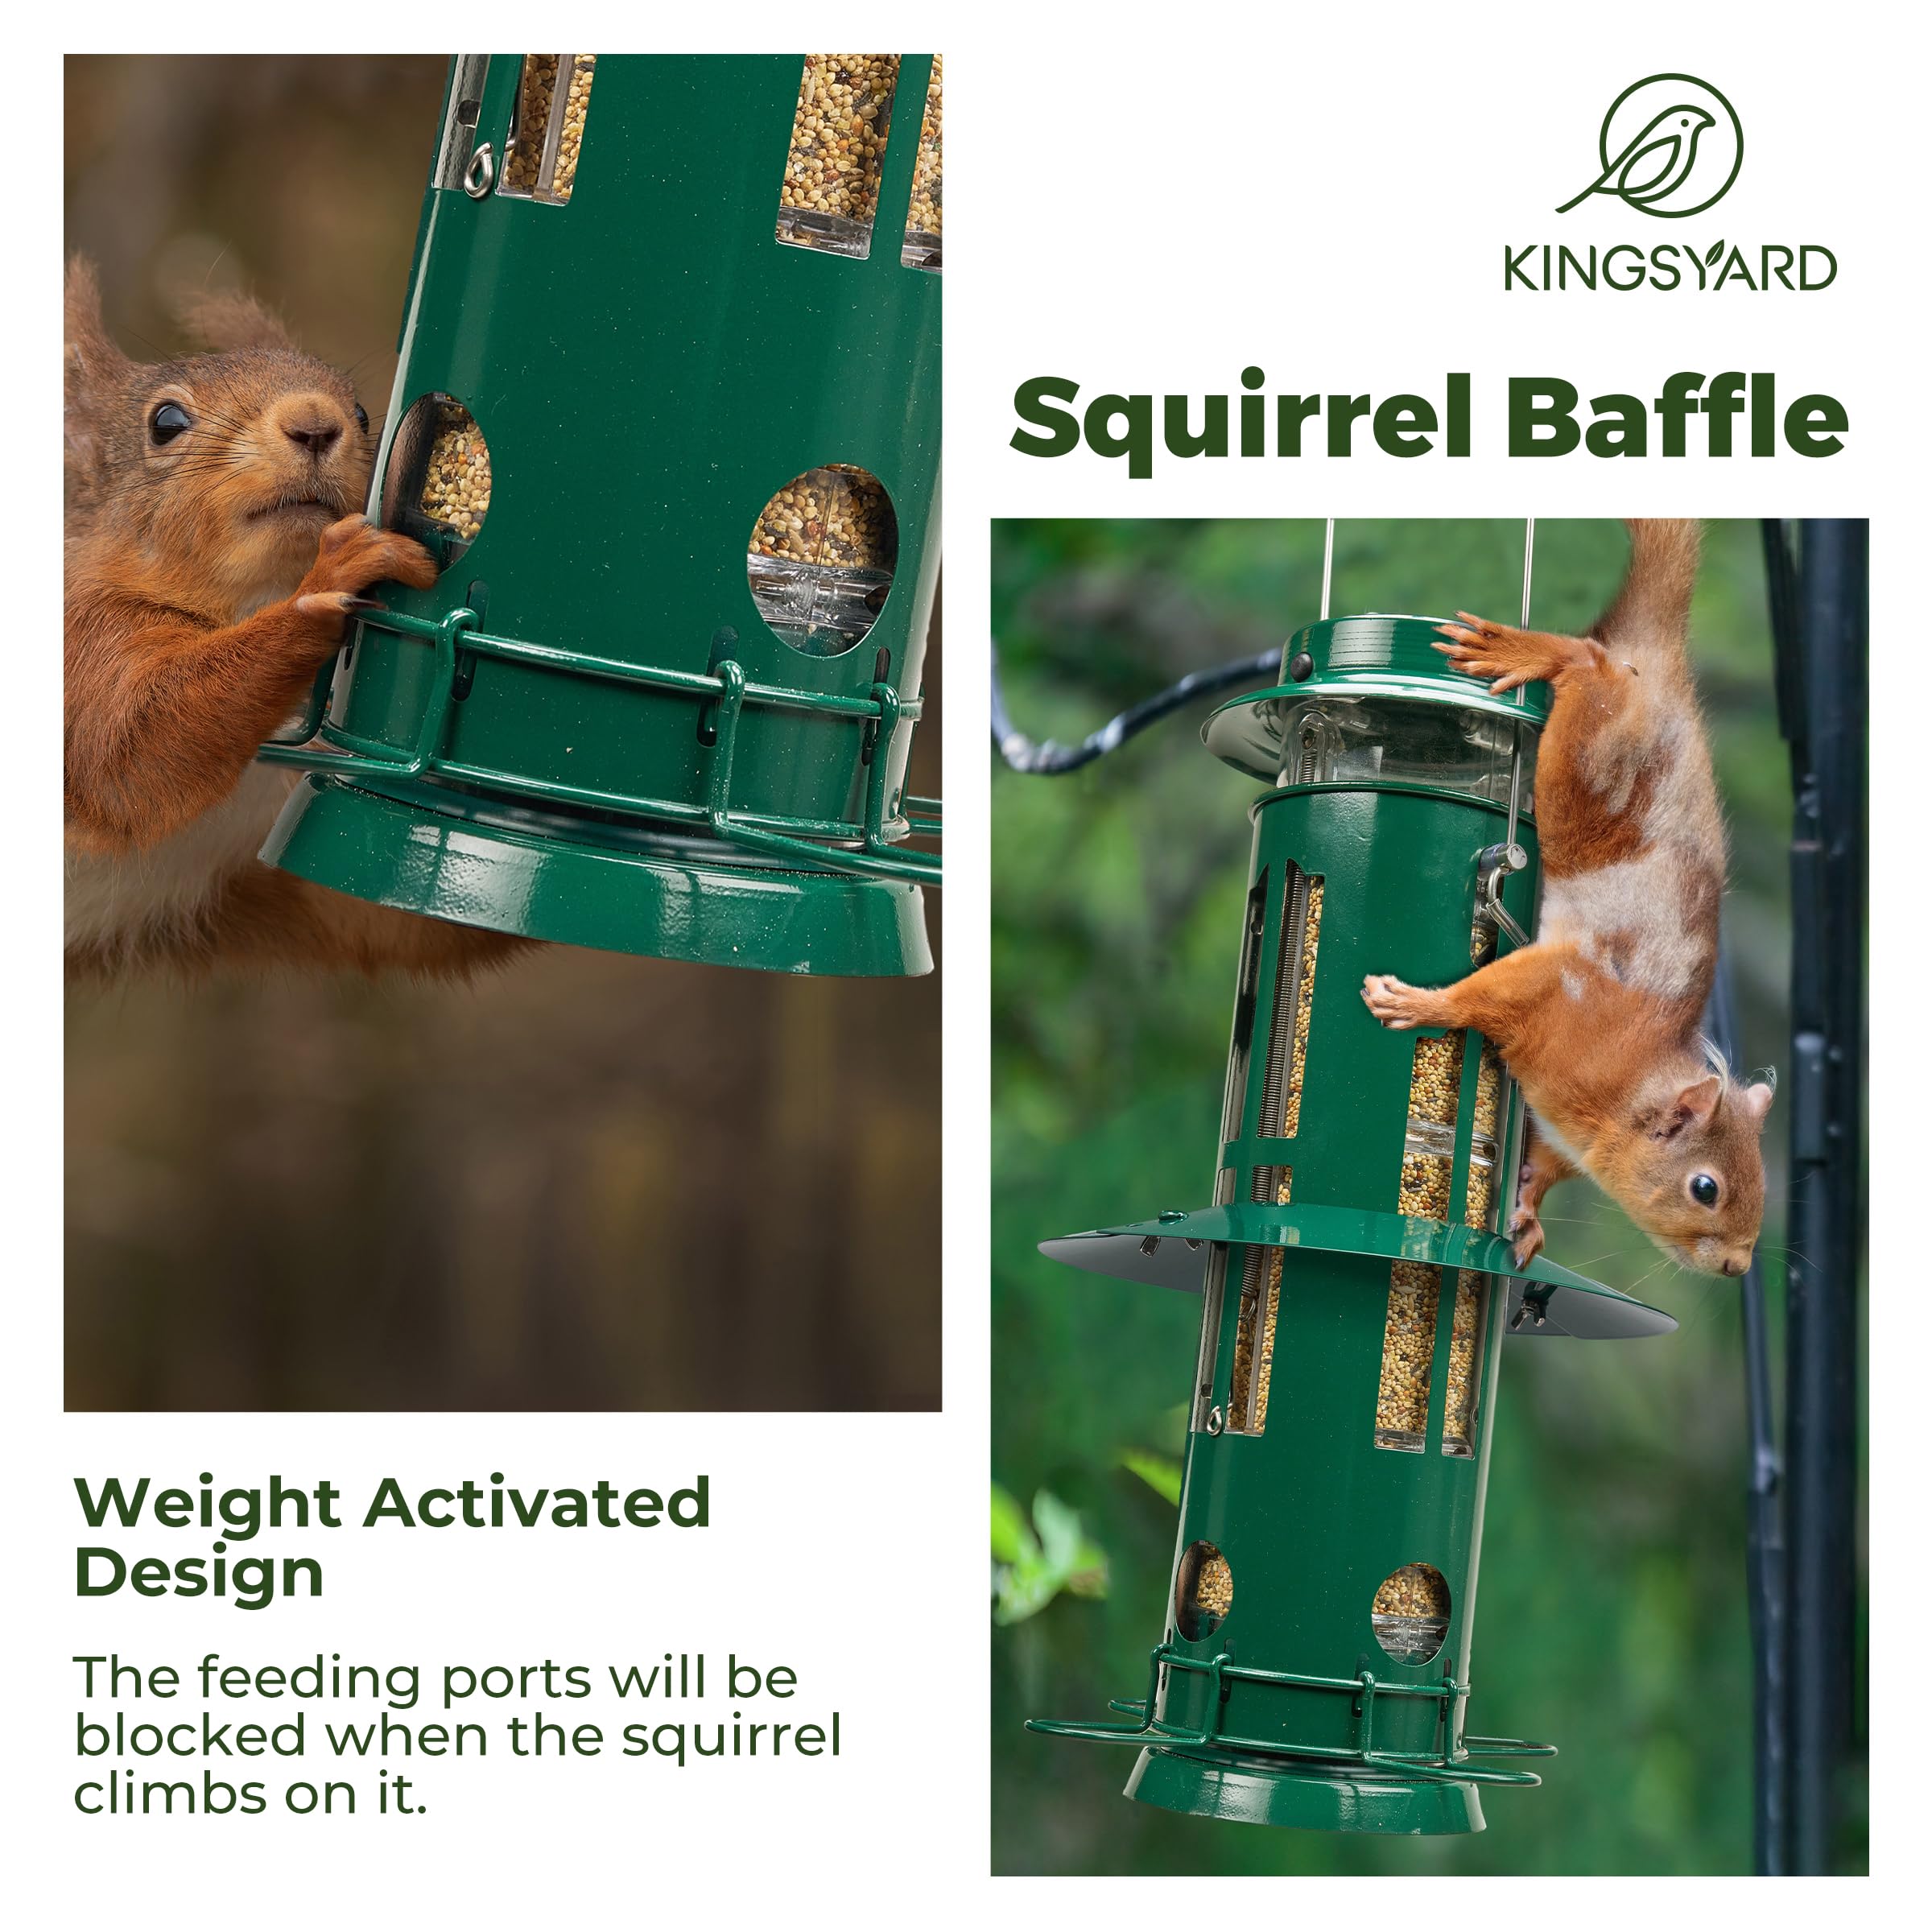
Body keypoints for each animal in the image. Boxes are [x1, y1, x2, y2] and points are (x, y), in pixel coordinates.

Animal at [64, 256, 528, 981]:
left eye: (364, 412)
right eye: (165, 422)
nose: (314, 422)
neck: (247, 600)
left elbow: (407, 920)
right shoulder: (82, 642)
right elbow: (129, 748)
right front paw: (333, 578)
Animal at [1360, 518, 1773, 1279]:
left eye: (1759, 1178)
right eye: (1705, 1188)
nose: (1737, 1266)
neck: (1627, 1086)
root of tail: (1661, 663)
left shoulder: (1557, 1127)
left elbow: (1542, 1165)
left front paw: (1526, 1213)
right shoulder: (1560, 996)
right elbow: (1485, 997)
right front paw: (1422, 1007)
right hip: (1590, 754)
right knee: (1589, 664)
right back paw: (1532, 652)